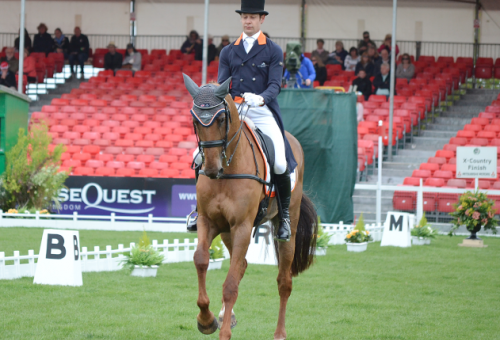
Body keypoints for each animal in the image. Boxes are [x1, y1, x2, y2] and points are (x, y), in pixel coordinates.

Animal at [183, 74, 316, 340]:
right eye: (195, 120)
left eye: (221, 118)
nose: (211, 169)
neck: (227, 170)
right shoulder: (208, 222)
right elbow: (201, 260)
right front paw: (206, 320)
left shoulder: (243, 226)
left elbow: (230, 284)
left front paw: (222, 332)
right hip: (227, 232)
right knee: (242, 264)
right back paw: (227, 315)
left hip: (287, 229)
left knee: (284, 282)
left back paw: (279, 333)